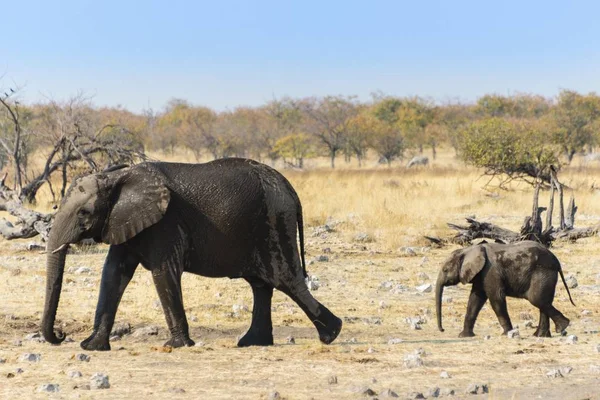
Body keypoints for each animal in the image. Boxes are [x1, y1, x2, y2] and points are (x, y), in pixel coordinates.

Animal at [42, 159, 342, 350]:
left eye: (84, 213)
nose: (61, 334)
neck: (118, 177)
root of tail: (291, 189)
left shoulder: (165, 223)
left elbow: (163, 272)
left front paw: (176, 345)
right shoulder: (125, 221)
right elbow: (113, 273)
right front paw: (91, 347)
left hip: (276, 222)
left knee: (285, 280)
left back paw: (332, 334)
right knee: (262, 285)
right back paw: (252, 343)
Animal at [434, 241, 576, 338]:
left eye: (445, 270)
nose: (442, 330)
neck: (468, 250)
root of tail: (557, 261)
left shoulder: (490, 271)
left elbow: (496, 298)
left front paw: (507, 333)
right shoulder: (481, 274)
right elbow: (475, 300)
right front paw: (464, 336)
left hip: (543, 273)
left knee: (537, 299)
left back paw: (562, 327)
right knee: (543, 301)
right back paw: (541, 335)